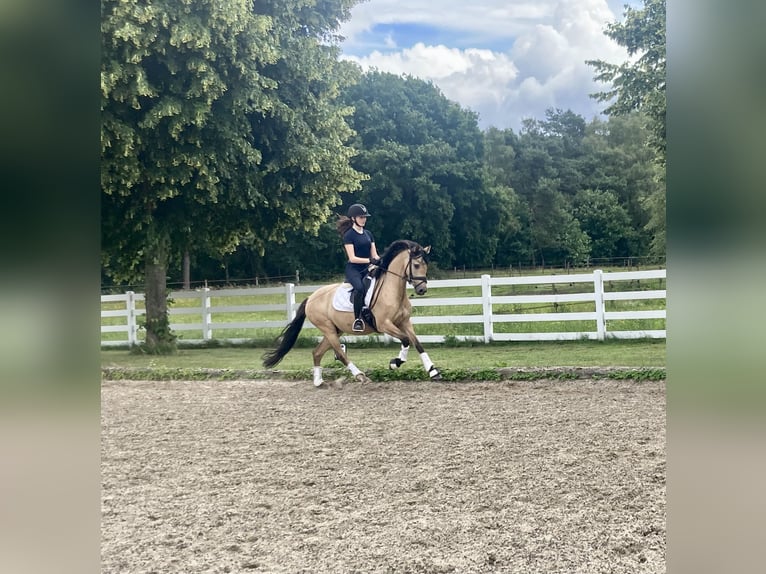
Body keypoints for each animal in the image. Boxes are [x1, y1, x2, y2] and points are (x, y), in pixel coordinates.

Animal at [264, 238, 444, 388]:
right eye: (416, 265)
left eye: (426, 265)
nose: (422, 290)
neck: (392, 291)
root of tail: (311, 297)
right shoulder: (384, 324)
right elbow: (406, 340)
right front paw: (395, 362)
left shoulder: (404, 322)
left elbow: (417, 343)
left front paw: (433, 371)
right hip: (328, 329)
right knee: (340, 354)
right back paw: (360, 376)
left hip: (335, 330)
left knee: (317, 352)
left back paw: (318, 381)